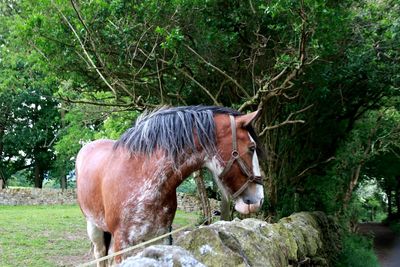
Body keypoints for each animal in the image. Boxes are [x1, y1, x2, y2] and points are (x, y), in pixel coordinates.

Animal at [76, 105, 264, 264]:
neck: (140, 176)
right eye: (252, 147)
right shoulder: (122, 244)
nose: (259, 199)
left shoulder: (161, 237)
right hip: (94, 228)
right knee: (100, 254)